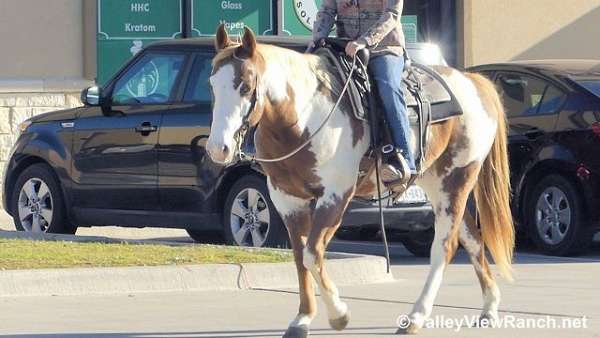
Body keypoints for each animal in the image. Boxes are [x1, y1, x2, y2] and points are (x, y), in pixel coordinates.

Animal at [206, 25, 516, 336]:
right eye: (211, 84)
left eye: (246, 85)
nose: (218, 148)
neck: (303, 118)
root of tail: (474, 82)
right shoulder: (288, 200)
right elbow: (299, 257)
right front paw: (302, 319)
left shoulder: (336, 196)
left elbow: (313, 254)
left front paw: (339, 315)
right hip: (436, 184)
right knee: (473, 239)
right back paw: (489, 307)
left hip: (456, 182)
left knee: (444, 247)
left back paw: (416, 317)